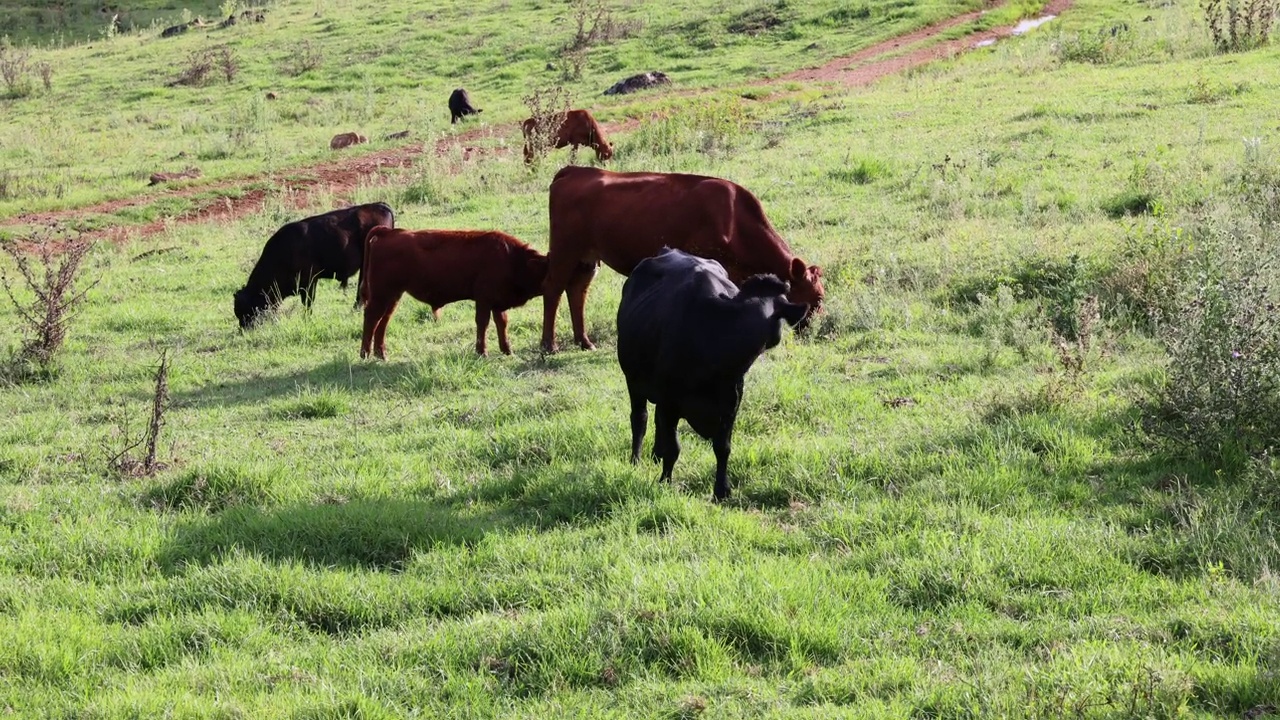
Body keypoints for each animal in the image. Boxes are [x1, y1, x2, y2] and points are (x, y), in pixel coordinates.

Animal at [360, 225, 550, 356]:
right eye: (548, 270)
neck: (513, 258)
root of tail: (389, 232)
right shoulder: (484, 300)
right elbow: (483, 323)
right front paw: (482, 352)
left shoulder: (497, 303)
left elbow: (501, 323)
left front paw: (507, 350)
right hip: (381, 295)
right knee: (372, 317)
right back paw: (365, 354)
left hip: (393, 296)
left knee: (383, 320)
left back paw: (381, 354)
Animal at [537, 163, 819, 353]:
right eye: (816, 297)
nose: (812, 330)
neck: (734, 220)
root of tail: (574, 170)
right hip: (565, 251)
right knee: (553, 289)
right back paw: (549, 345)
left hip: (586, 258)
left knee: (577, 291)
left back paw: (584, 341)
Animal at [614, 245, 803, 499]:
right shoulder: (670, 401)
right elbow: (674, 447)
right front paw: (665, 482)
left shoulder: (730, 404)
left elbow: (723, 447)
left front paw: (721, 490)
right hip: (633, 379)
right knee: (640, 418)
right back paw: (636, 460)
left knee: (655, 421)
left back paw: (656, 455)